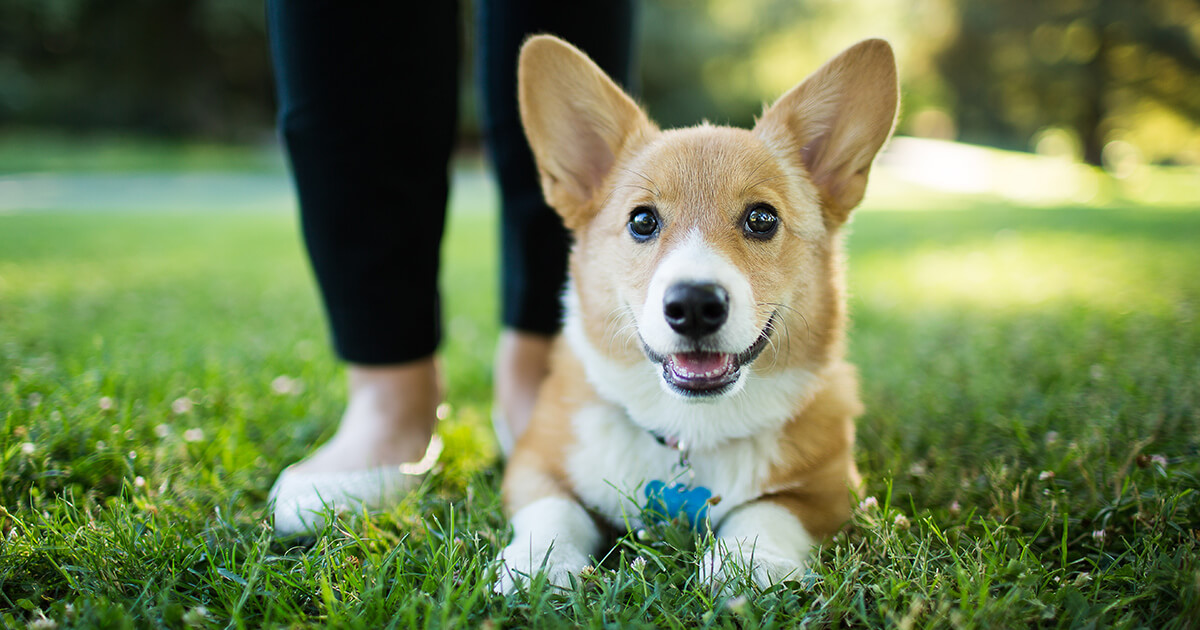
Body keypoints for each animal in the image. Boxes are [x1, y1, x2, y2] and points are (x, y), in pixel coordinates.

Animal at [492, 36, 897, 592]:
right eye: (642, 220)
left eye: (762, 218)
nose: (694, 306)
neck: (690, 428)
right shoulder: (536, 462)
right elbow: (554, 508)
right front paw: (539, 564)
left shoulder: (831, 491)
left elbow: (767, 511)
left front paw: (746, 564)